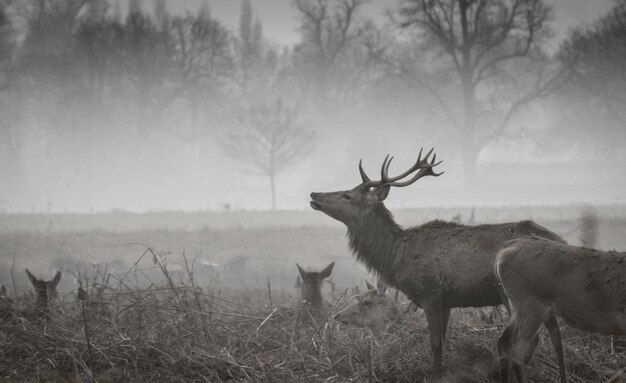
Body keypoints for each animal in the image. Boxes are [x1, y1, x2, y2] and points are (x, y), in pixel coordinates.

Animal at [308, 150, 564, 380]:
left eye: (347, 195)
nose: (313, 193)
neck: (396, 257)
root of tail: (560, 240)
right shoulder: (447, 301)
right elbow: (443, 342)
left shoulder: (430, 293)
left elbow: (435, 346)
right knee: (555, 336)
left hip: (513, 294)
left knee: (527, 341)